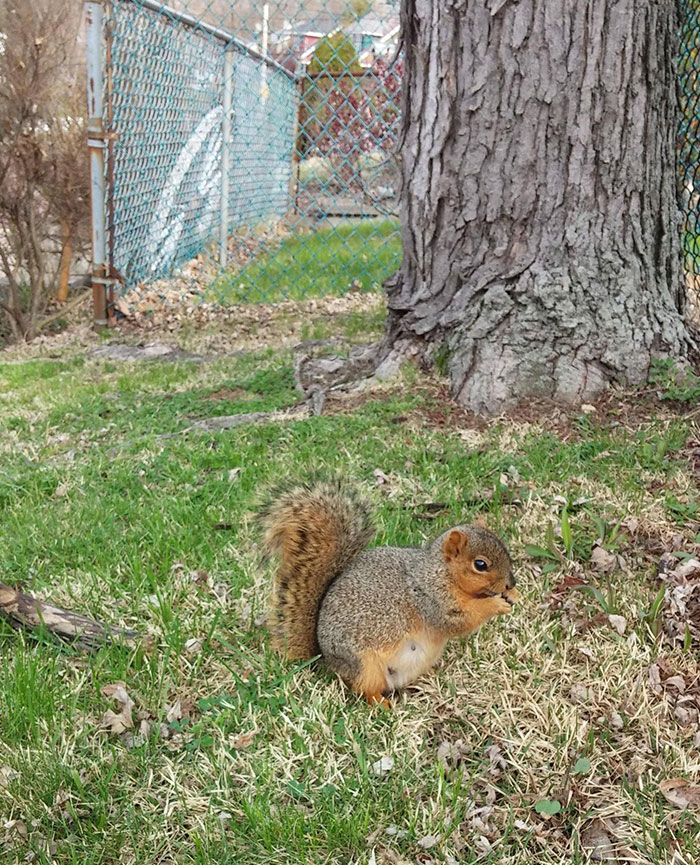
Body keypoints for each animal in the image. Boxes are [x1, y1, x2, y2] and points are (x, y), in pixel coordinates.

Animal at [259, 479, 519, 707]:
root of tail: (325, 660)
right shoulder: (430, 598)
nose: (510, 582)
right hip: (365, 666)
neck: (440, 572)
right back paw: (382, 705)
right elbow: (459, 621)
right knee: (364, 689)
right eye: (480, 564)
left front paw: (514, 595)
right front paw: (495, 605)